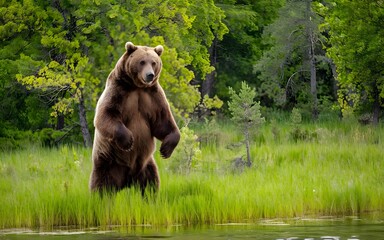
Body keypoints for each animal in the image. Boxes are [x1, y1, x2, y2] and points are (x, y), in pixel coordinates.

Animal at [89, 41, 181, 193]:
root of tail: (126, 182)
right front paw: (128, 140)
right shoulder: (118, 91)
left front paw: (165, 150)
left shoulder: (153, 96)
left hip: (146, 165)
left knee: (151, 184)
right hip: (107, 161)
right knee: (102, 185)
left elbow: (163, 121)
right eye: (142, 62)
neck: (137, 86)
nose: (150, 75)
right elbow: (105, 115)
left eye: (154, 62)